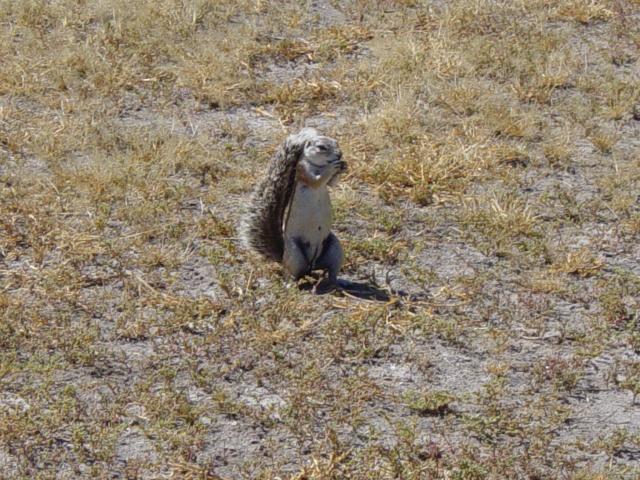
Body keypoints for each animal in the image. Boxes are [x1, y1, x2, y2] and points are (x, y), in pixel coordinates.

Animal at [240, 127, 347, 285]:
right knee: (292, 274)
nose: (340, 154)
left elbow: (332, 183)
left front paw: (344, 166)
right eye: (321, 147)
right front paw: (331, 168)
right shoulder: (303, 170)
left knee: (331, 271)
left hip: (335, 249)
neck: (318, 165)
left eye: (337, 142)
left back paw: (337, 283)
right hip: (295, 254)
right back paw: (291, 284)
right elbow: (317, 180)